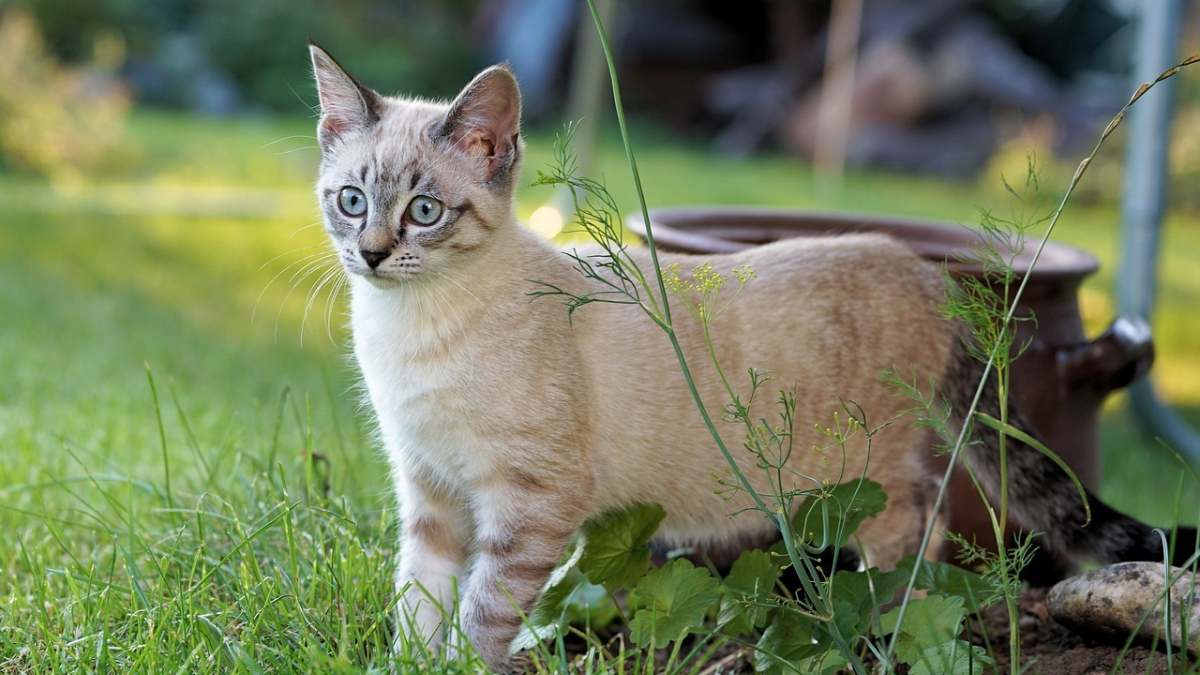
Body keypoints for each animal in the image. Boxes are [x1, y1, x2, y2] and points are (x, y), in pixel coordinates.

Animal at [304, 44, 1195, 667]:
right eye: (351, 200)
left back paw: (883, 626)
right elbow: (418, 602)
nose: (372, 254)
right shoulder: (429, 491)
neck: (409, 329)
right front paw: (410, 663)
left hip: (865, 469)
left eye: (424, 212)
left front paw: (460, 662)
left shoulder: (527, 503)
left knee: (924, 525)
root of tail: (920, 266)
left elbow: (484, 613)